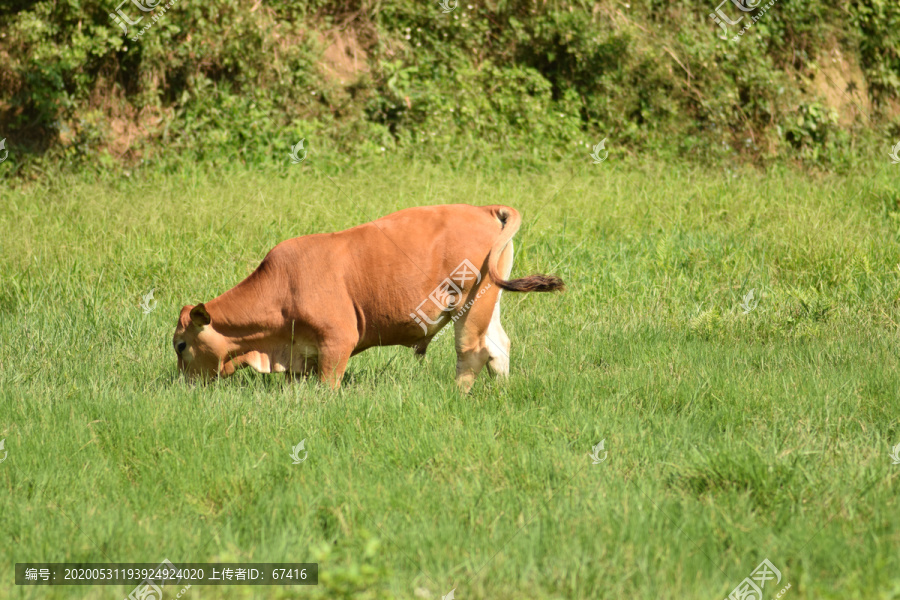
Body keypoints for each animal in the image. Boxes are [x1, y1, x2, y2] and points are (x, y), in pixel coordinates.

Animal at [173, 204, 568, 392]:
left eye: (180, 344)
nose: (182, 384)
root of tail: (483, 209)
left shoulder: (336, 343)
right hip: (488, 301)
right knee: (498, 346)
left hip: (469, 307)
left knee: (472, 352)